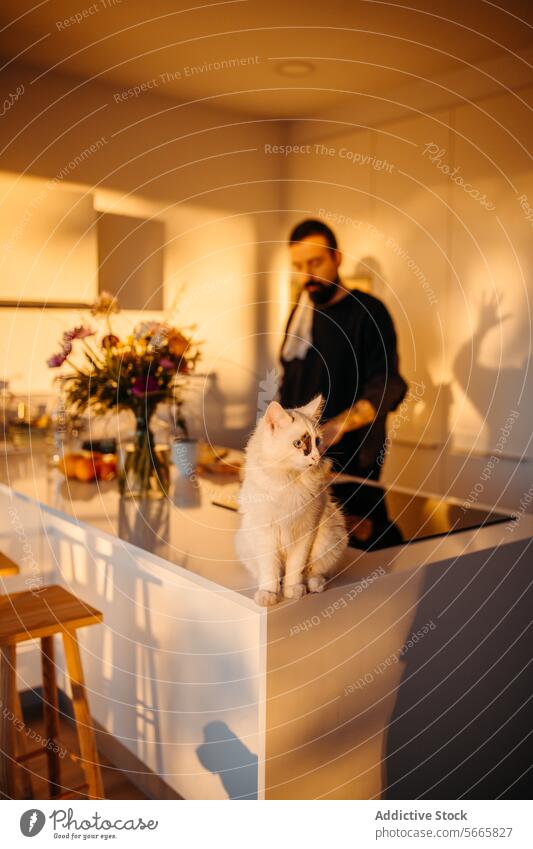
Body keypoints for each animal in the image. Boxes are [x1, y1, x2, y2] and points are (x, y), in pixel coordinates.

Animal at [235, 394, 348, 608]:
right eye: (298, 443)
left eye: (317, 441)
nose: (316, 457)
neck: (289, 481)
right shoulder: (266, 533)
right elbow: (270, 571)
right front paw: (269, 594)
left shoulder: (305, 532)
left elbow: (296, 567)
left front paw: (293, 591)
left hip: (331, 536)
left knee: (316, 573)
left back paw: (314, 586)